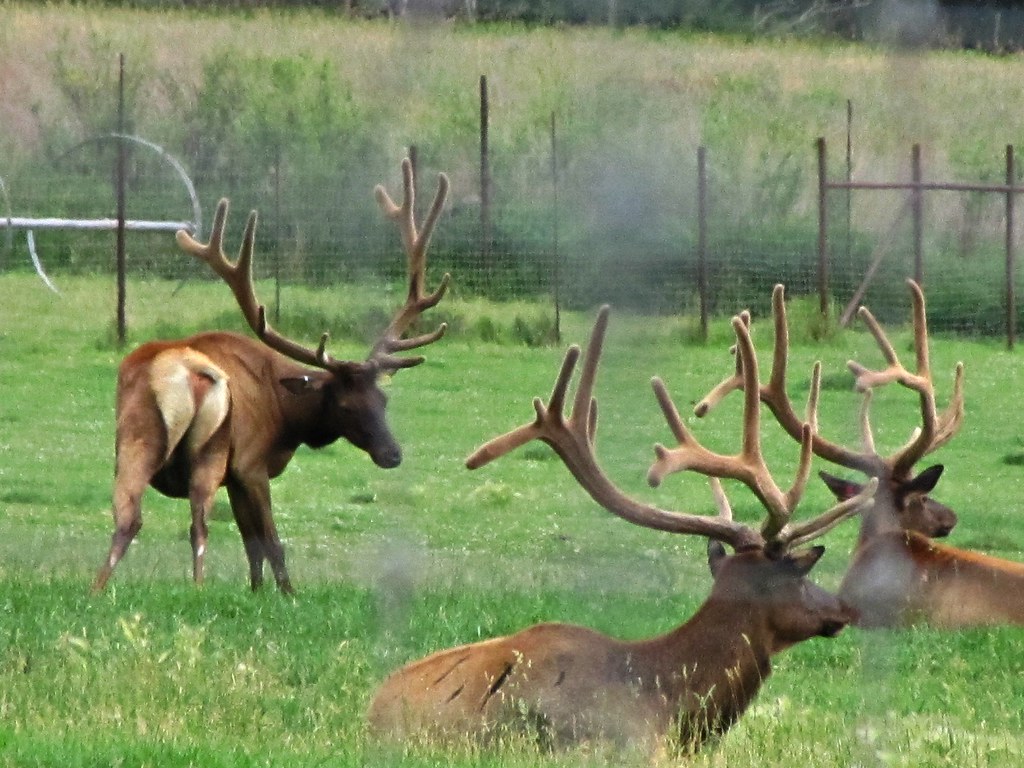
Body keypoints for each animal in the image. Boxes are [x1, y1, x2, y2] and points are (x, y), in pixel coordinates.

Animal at [91, 157, 450, 594]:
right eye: (345, 405)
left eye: (383, 399)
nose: (392, 454)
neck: (287, 419)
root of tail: (180, 372)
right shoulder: (250, 464)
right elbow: (270, 542)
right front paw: (288, 594)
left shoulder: (236, 477)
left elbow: (252, 547)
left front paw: (256, 591)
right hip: (210, 450)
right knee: (198, 527)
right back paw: (198, 588)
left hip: (134, 437)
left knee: (128, 517)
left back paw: (97, 589)